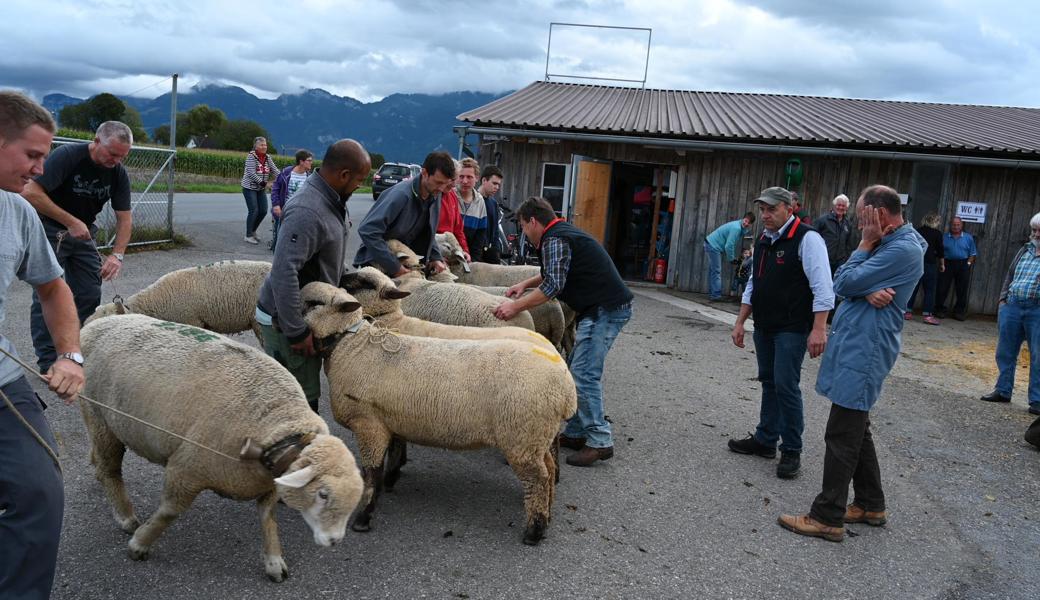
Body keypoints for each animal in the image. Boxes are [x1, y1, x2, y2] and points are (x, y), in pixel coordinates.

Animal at [78, 314, 361, 582]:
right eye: (323, 494)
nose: (334, 541)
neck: (275, 425)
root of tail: (95, 325)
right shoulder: (186, 468)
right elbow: (169, 512)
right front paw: (139, 544)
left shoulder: (268, 483)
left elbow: (268, 520)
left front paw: (274, 562)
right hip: (99, 417)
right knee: (109, 470)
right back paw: (126, 517)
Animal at [299, 280, 578, 540]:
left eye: (314, 303)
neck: (351, 345)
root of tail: (566, 388)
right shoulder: (392, 418)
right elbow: (395, 451)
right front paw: (391, 480)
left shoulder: (368, 424)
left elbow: (371, 474)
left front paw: (364, 516)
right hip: (535, 436)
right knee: (548, 469)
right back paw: (548, 513)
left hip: (523, 437)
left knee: (538, 479)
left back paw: (534, 531)